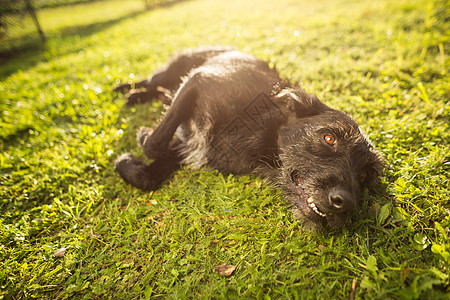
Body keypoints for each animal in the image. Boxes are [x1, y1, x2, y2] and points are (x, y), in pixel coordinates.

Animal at [113, 47, 384, 230]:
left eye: (364, 175)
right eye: (329, 138)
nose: (345, 201)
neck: (263, 132)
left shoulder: (190, 146)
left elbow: (147, 176)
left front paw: (129, 164)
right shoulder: (198, 80)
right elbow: (153, 144)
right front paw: (143, 135)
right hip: (174, 70)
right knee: (151, 81)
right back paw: (128, 90)